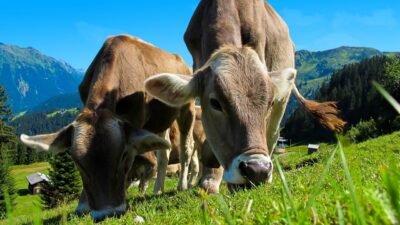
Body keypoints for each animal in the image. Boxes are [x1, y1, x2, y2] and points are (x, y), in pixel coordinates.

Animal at [20, 34, 195, 221]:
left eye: (124, 155)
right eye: (77, 162)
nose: (107, 213)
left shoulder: (135, 122)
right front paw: (83, 205)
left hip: (187, 107)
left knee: (186, 147)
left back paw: (182, 185)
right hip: (162, 121)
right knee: (164, 152)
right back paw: (158, 190)